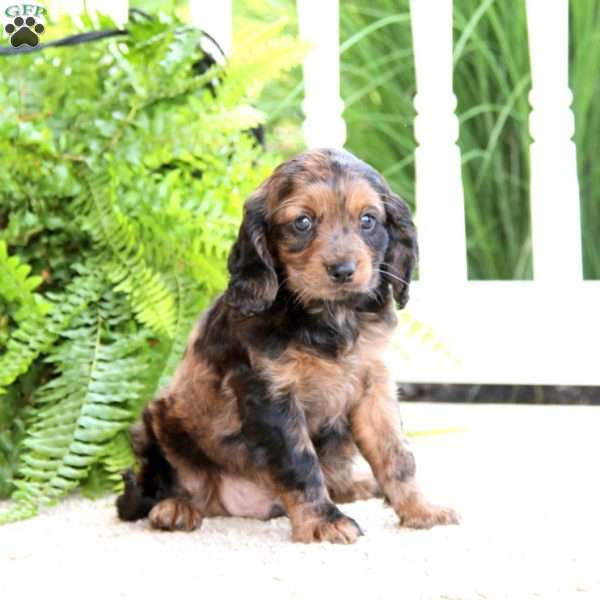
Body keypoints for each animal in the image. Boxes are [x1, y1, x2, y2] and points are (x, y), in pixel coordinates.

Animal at [117, 146, 460, 544]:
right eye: (303, 222)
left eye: (368, 220)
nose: (343, 270)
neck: (327, 318)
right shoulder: (271, 396)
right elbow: (300, 464)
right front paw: (324, 522)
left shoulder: (373, 385)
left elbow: (396, 454)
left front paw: (420, 510)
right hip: (160, 419)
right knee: (160, 484)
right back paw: (175, 507)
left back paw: (358, 485)